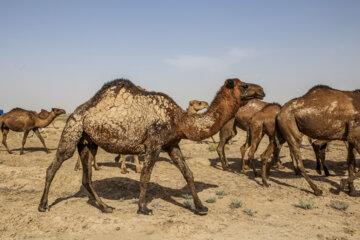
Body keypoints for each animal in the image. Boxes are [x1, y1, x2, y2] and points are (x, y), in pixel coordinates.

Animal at [38, 78, 264, 215]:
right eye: (244, 86)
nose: (261, 90)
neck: (179, 120)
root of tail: (77, 111)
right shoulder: (154, 144)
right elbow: (145, 176)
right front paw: (142, 208)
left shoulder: (172, 144)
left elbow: (188, 173)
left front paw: (200, 207)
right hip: (72, 130)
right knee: (53, 166)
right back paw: (43, 205)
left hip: (88, 142)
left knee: (86, 177)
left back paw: (106, 207)